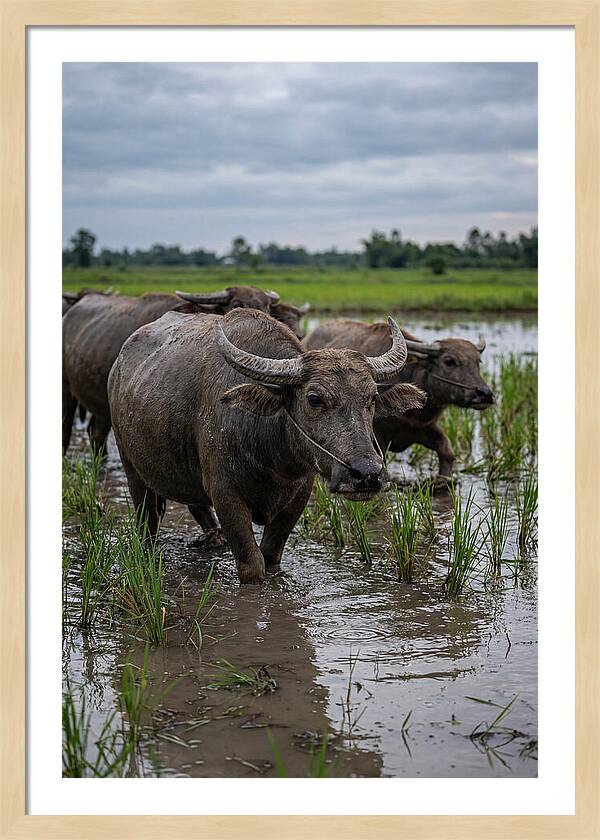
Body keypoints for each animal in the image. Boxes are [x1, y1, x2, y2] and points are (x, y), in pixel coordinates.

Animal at [108, 310, 425, 583]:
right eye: (314, 398)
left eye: (372, 398)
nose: (367, 473)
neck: (272, 458)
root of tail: (118, 366)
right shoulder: (226, 495)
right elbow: (252, 565)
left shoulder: (298, 496)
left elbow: (271, 556)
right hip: (131, 467)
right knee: (147, 520)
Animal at [305, 319, 494, 481]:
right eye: (449, 361)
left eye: (478, 362)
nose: (485, 394)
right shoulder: (376, 437)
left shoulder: (424, 428)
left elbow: (446, 450)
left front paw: (443, 480)